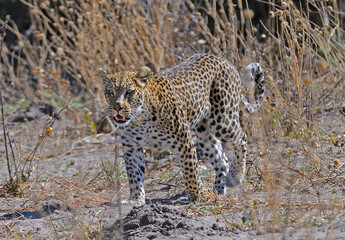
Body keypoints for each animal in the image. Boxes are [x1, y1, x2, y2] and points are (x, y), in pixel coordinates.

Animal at [98, 53, 264, 205]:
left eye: (129, 92)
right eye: (110, 92)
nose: (117, 107)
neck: (139, 119)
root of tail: (222, 58)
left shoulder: (183, 142)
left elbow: (190, 170)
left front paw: (196, 195)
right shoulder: (131, 148)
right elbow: (134, 175)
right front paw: (136, 199)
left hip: (222, 120)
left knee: (241, 138)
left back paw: (236, 177)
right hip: (203, 133)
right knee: (222, 160)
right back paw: (217, 190)